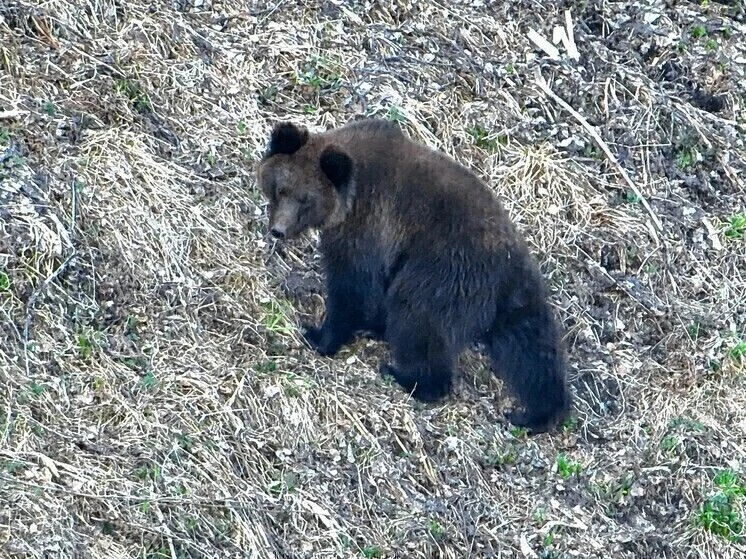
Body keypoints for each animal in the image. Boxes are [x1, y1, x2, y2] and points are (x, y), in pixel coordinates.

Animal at [256, 117, 570, 433]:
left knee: (418, 317)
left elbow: (352, 286)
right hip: (516, 298)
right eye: (282, 189)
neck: (349, 198)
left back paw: (408, 377)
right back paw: (538, 412)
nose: (279, 230)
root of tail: (506, 267)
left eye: (305, 200)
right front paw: (368, 326)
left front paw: (320, 335)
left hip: (443, 272)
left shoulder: (368, 224)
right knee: (532, 350)